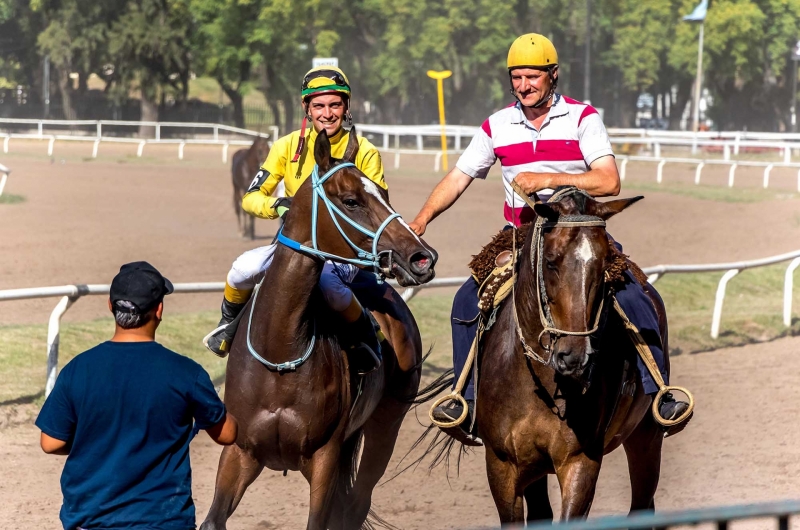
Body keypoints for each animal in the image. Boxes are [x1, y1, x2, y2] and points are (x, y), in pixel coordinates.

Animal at [200, 129, 438, 528]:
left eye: (383, 193)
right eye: (351, 200)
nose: (422, 258)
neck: (280, 352)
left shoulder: (325, 456)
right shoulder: (240, 451)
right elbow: (212, 519)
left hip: (387, 422)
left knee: (356, 502)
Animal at [476, 188, 668, 520]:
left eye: (605, 265)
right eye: (551, 261)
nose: (574, 356)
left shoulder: (580, 460)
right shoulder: (502, 464)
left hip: (646, 436)